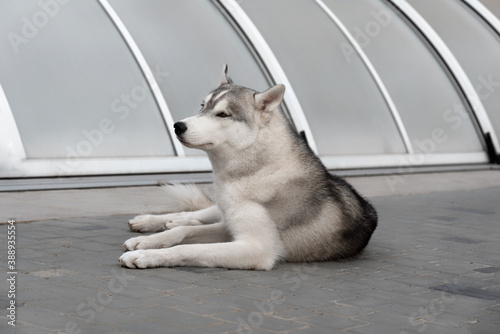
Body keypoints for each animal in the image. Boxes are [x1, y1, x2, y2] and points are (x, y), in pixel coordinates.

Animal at [118, 66, 376, 272]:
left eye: (223, 114)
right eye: (202, 106)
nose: (177, 126)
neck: (256, 171)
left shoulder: (254, 247)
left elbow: (192, 247)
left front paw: (145, 255)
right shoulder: (231, 227)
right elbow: (184, 234)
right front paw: (149, 241)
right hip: (219, 209)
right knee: (196, 215)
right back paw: (153, 221)